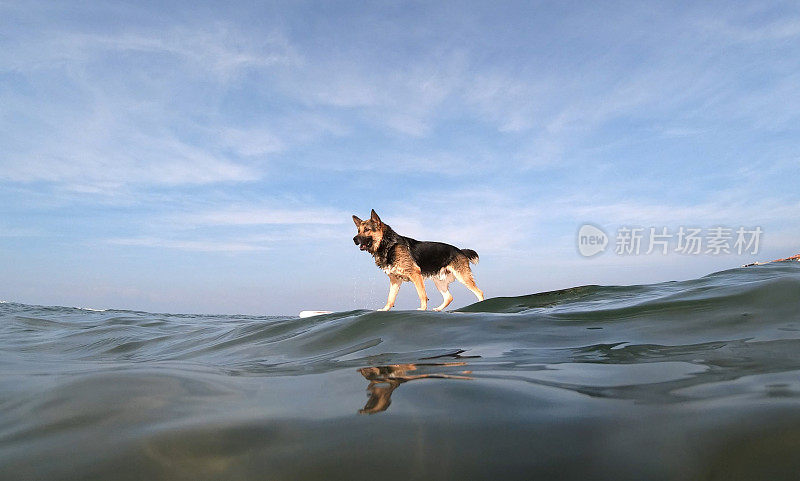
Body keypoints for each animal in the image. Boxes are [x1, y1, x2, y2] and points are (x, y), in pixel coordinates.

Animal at [354, 210, 484, 312]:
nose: (354, 239)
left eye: (367, 229)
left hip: (463, 277)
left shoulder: (415, 274)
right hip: (439, 281)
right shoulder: (395, 280)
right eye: (358, 231)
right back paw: (438, 309)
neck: (388, 244)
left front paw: (422, 309)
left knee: (479, 292)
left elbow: (422, 294)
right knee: (449, 297)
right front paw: (385, 309)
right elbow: (390, 298)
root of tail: (460, 251)